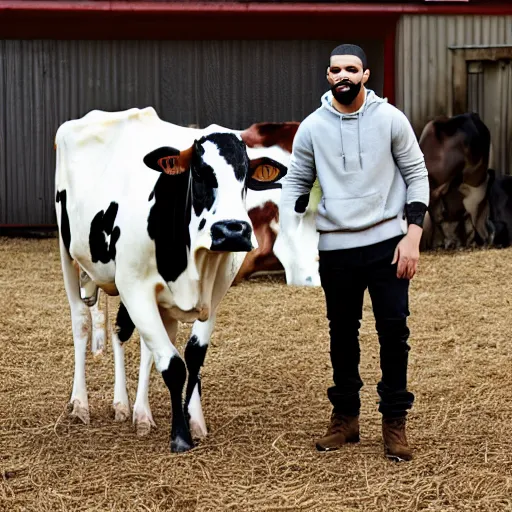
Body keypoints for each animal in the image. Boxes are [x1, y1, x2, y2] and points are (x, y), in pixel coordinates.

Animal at [57, 108, 288, 452]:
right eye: (201, 173)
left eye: (246, 176)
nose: (233, 231)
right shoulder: (135, 287)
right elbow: (173, 364)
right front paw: (180, 436)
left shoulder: (214, 293)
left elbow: (191, 356)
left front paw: (194, 421)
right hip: (68, 257)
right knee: (82, 325)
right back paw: (81, 404)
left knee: (125, 335)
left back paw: (130, 408)